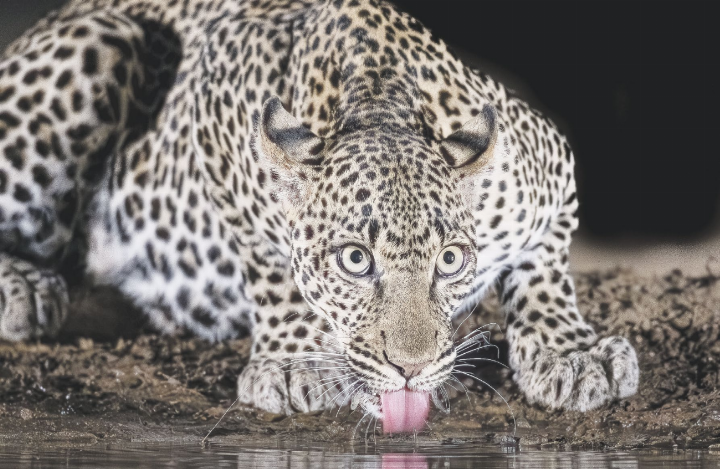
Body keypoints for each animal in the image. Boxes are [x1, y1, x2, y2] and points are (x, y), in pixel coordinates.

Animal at [0, 0, 639, 429]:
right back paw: (25, 289)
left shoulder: (551, 163)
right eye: (354, 260)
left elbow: (546, 269)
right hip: (107, 42)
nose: (410, 370)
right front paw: (293, 363)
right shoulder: (217, 101)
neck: (381, 101)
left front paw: (571, 354)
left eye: (451, 260)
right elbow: (271, 263)